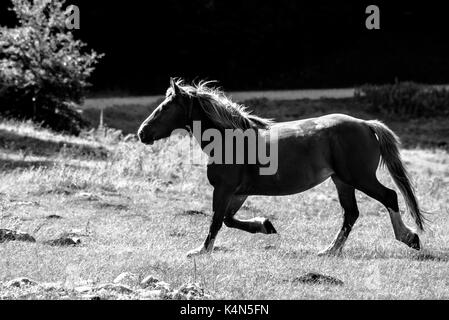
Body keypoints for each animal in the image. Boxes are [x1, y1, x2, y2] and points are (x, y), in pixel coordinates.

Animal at [138, 79, 426, 258]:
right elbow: (229, 220)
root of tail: (366, 124)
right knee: (351, 214)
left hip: (359, 177)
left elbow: (216, 221)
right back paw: (330, 250)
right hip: (342, 181)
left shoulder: (224, 189)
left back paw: (409, 237)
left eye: (165, 107)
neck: (229, 139)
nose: (142, 133)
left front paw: (201, 251)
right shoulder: (239, 192)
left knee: (389, 197)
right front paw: (266, 226)